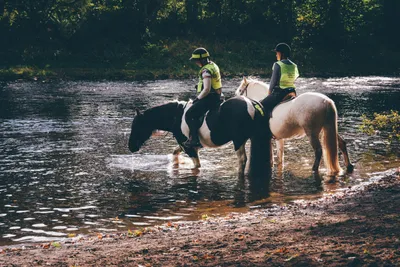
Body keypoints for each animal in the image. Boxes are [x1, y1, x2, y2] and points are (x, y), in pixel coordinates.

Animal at [130, 97, 270, 177]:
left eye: (136, 126)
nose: (131, 147)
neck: (177, 116)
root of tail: (252, 103)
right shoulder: (185, 144)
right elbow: (175, 152)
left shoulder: (189, 148)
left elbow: (196, 165)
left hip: (238, 140)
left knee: (242, 160)